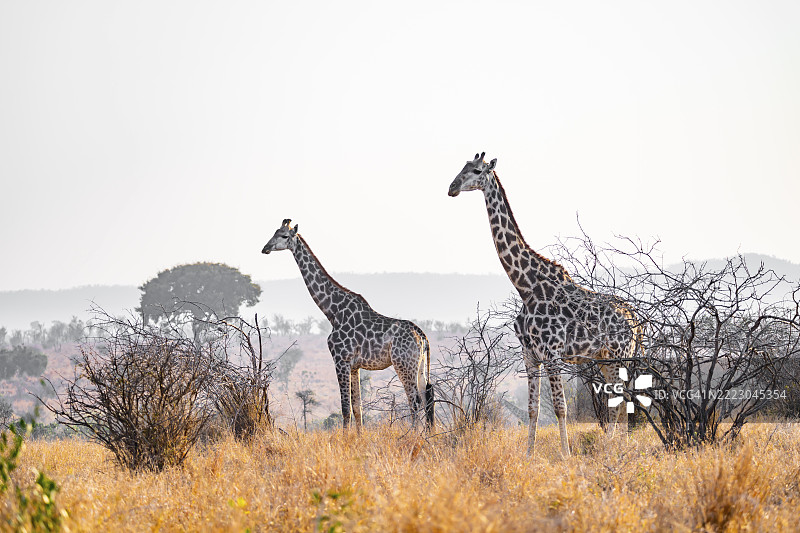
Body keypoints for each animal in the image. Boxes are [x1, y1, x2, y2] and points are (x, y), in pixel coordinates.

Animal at [261, 219, 434, 431]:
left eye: (284, 235)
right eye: (274, 232)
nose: (265, 248)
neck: (332, 312)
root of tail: (423, 337)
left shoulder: (340, 360)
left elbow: (345, 408)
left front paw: (345, 438)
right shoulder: (354, 366)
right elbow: (357, 407)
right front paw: (359, 437)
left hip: (403, 364)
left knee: (414, 400)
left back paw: (413, 434)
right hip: (419, 366)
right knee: (427, 397)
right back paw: (427, 434)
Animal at [448, 153, 642, 457]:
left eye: (477, 171)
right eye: (462, 168)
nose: (452, 188)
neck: (526, 286)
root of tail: (636, 320)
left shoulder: (552, 354)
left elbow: (561, 408)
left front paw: (566, 455)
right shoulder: (529, 354)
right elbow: (533, 409)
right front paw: (528, 455)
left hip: (620, 355)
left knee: (621, 400)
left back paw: (615, 448)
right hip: (604, 358)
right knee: (618, 400)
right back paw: (613, 446)